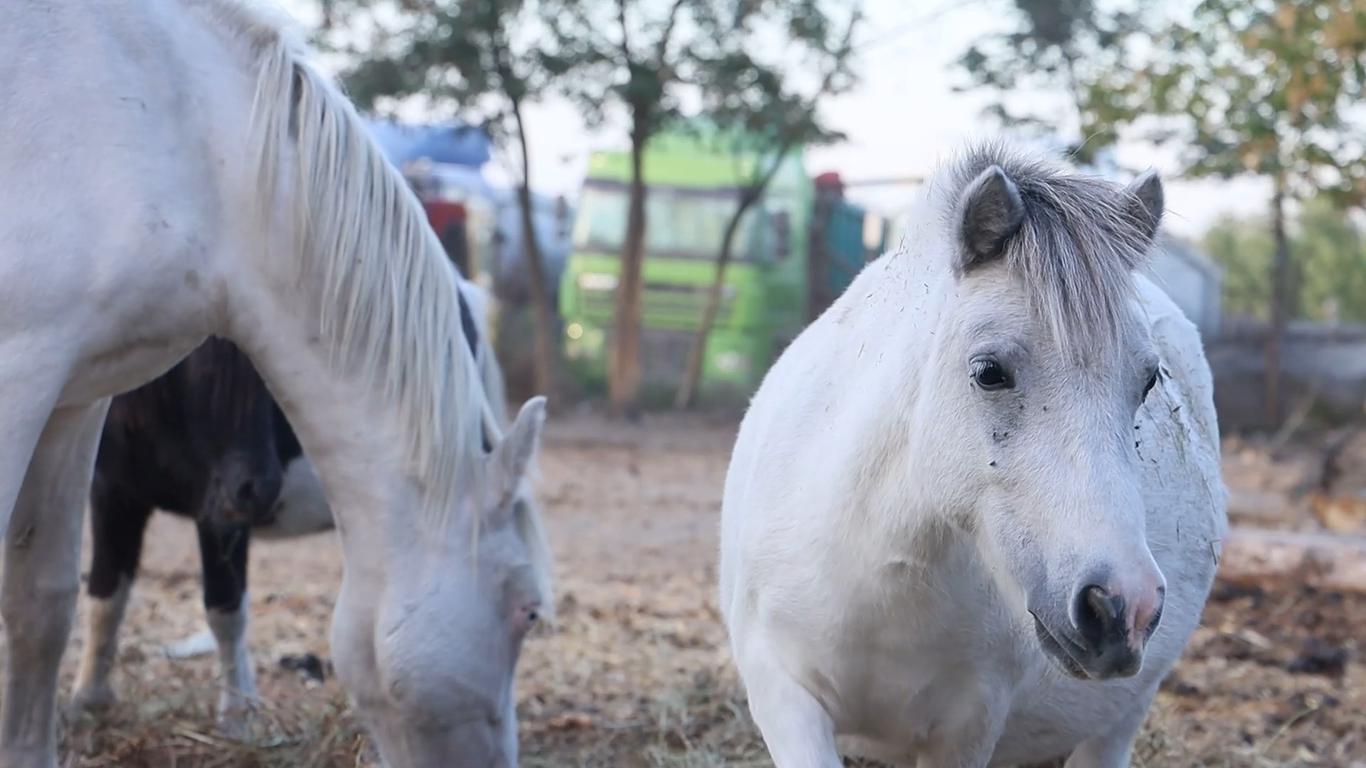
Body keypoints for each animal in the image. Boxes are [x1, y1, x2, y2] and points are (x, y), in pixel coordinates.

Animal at [721, 144, 1234, 765]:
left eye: (1148, 382)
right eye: (989, 372)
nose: (1119, 609)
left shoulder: (969, 726)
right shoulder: (784, 695)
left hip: (1119, 721)